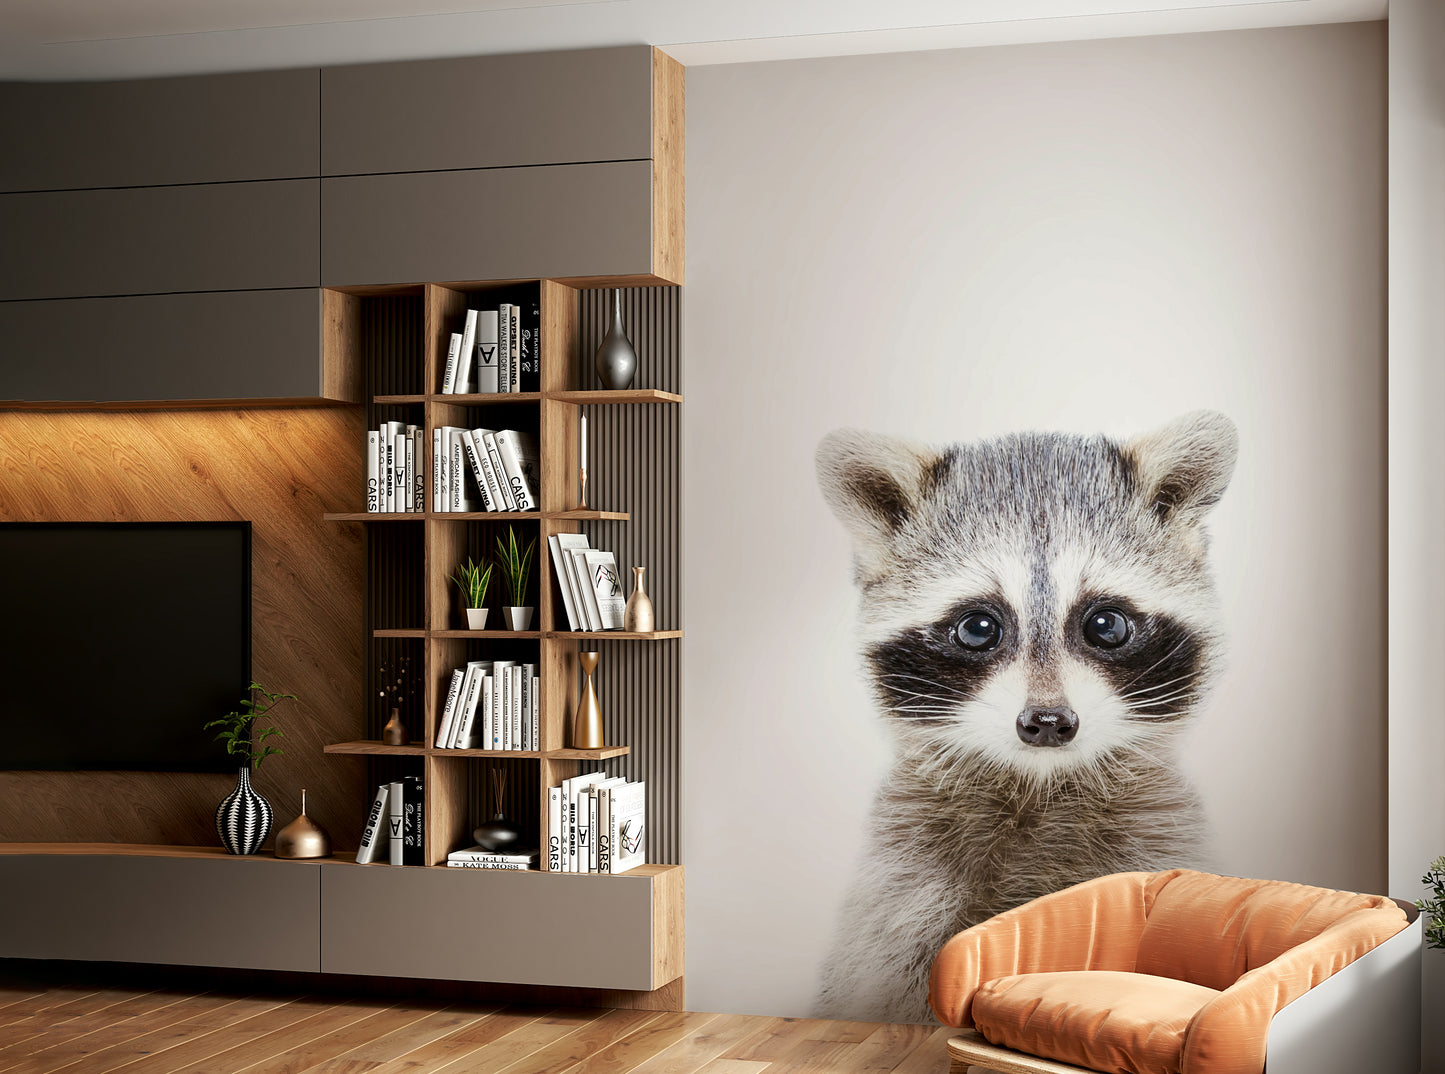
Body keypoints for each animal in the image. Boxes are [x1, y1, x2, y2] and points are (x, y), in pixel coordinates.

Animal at [811, 411, 1237, 1024]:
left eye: (1106, 624)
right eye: (977, 627)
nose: (1048, 721)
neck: (1039, 785)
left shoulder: (1157, 835)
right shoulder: (904, 883)